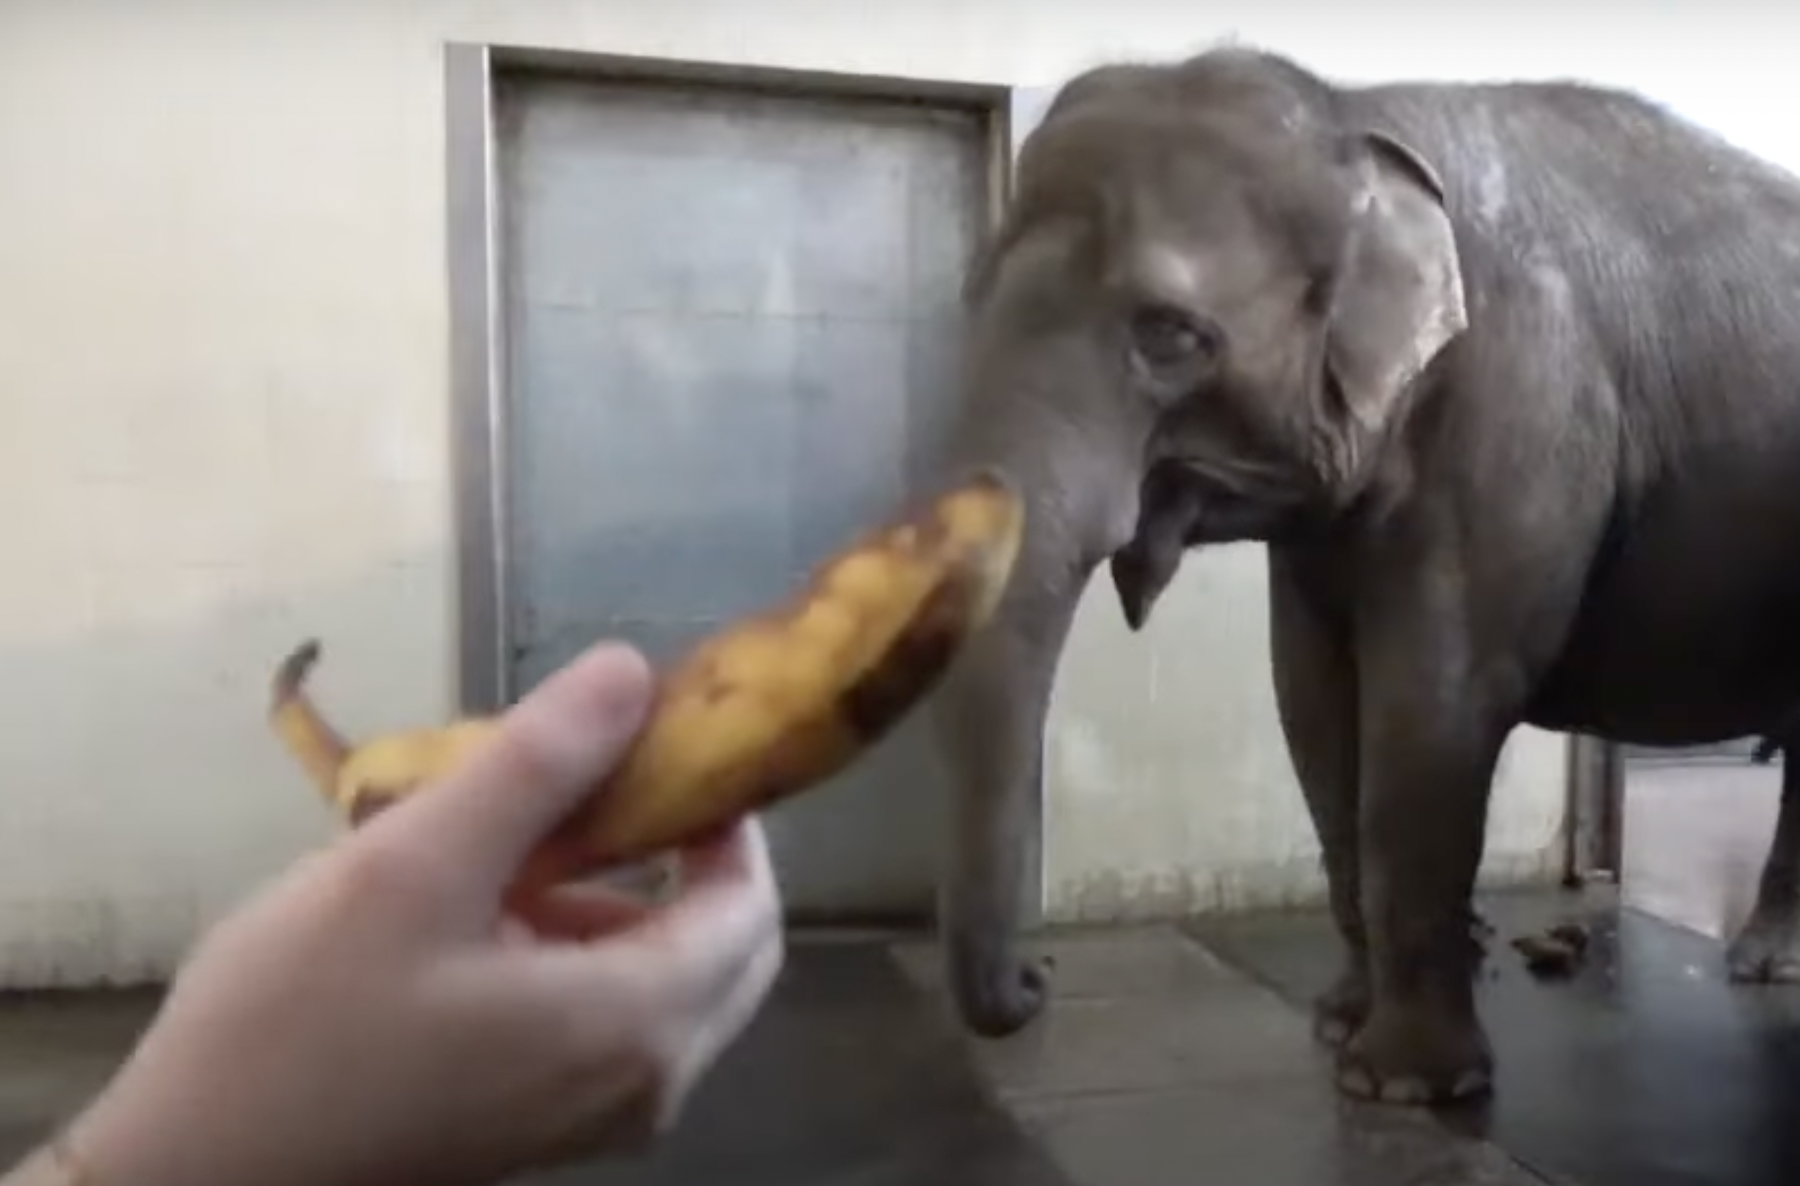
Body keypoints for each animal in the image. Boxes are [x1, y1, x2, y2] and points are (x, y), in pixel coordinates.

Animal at [928, 44, 1800, 1101]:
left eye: (1169, 333)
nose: (1037, 980)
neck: (1351, 116)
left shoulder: (1519, 409)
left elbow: (1432, 701)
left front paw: (1405, 1087)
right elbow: (1311, 699)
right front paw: (1339, 1028)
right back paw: (1768, 966)